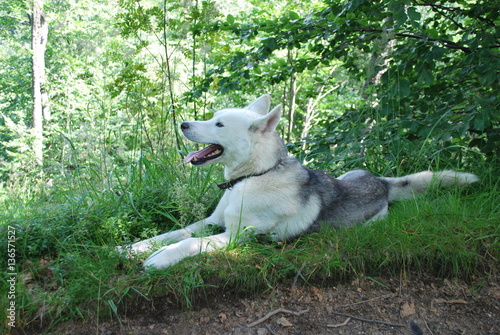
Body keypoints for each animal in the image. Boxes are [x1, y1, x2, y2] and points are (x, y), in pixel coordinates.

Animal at [123, 94, 478, 270]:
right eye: (212, 117)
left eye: (219, 124)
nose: (183, 124)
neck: (252, 178)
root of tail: (380, 182)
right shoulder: (209, 222)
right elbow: (171, 234)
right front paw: (129, 248)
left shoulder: (235, 237)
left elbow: (189, 243)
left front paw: (160, 259)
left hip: (370, 221)